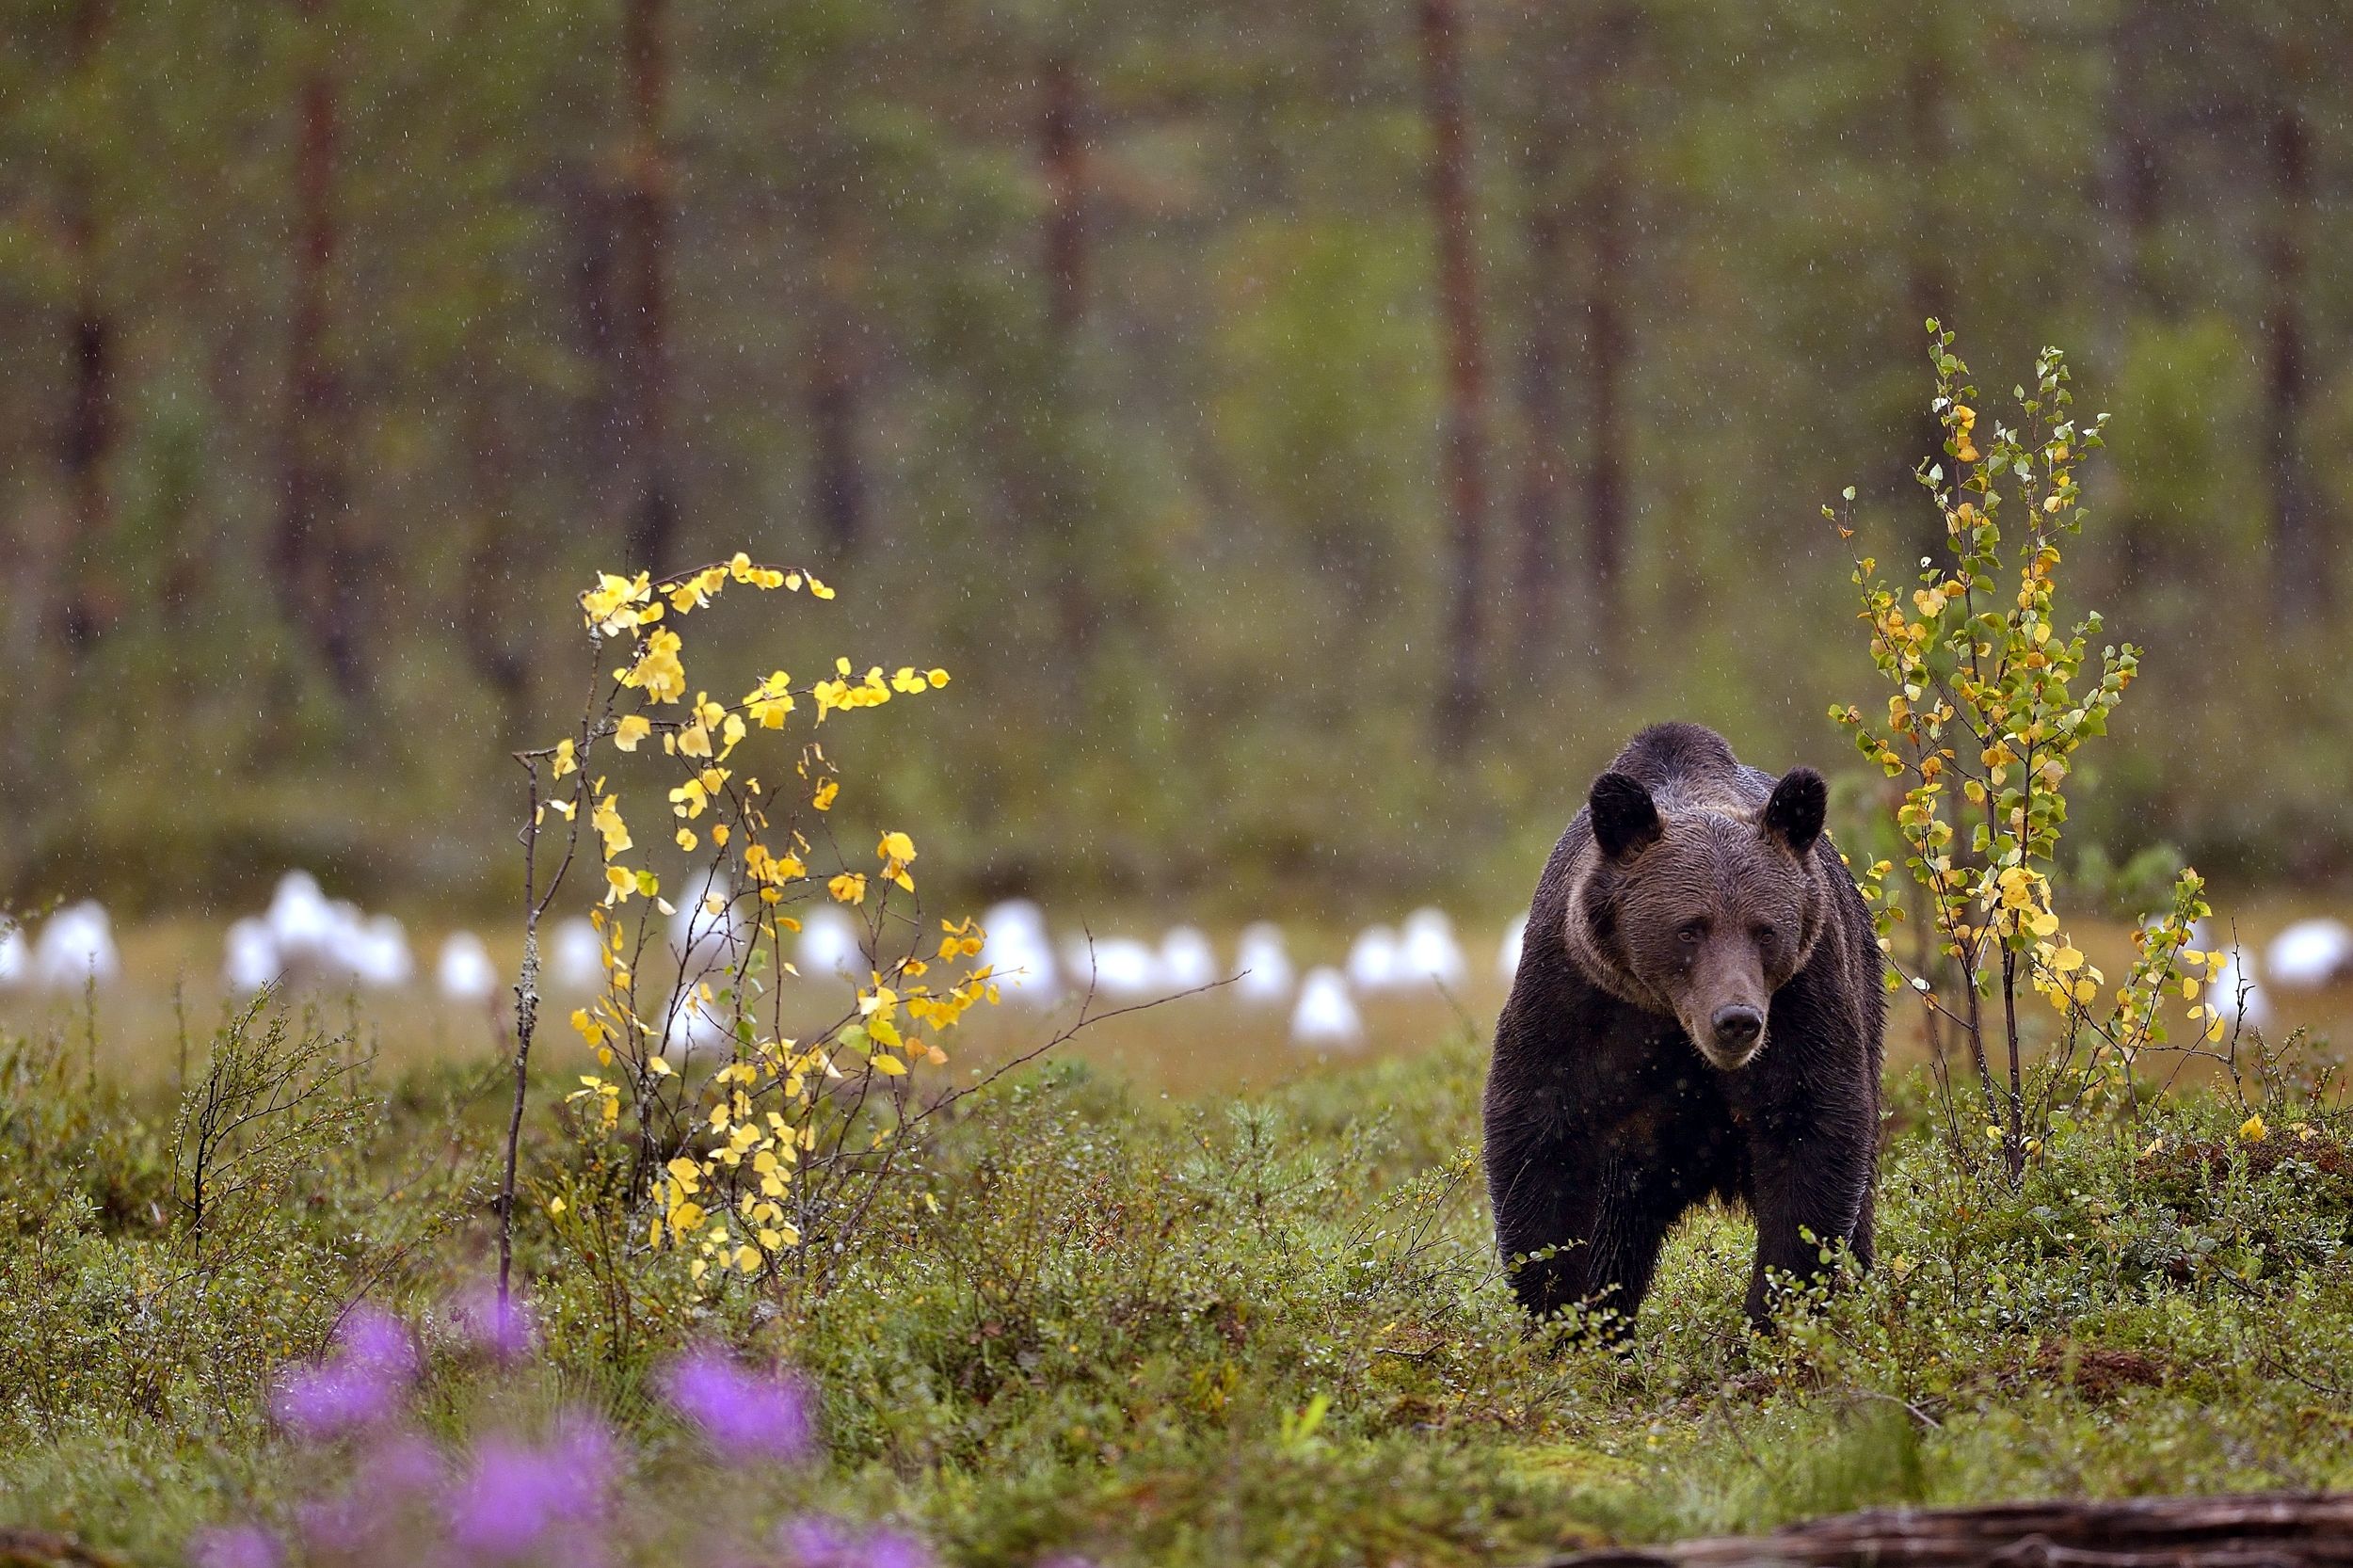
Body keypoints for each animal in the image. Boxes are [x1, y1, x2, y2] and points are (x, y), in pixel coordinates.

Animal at [1482, 721, 1883, 1331]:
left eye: (1765, 930)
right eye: (1690, 929)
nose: (1737, 1020)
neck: (1672, 1019)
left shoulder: (1805, 999)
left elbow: (1811, 1134)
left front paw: (1770, 1317)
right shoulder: (1575, 997)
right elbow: (1541, 1133)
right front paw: (1565, 1313)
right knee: (1616, 1234)